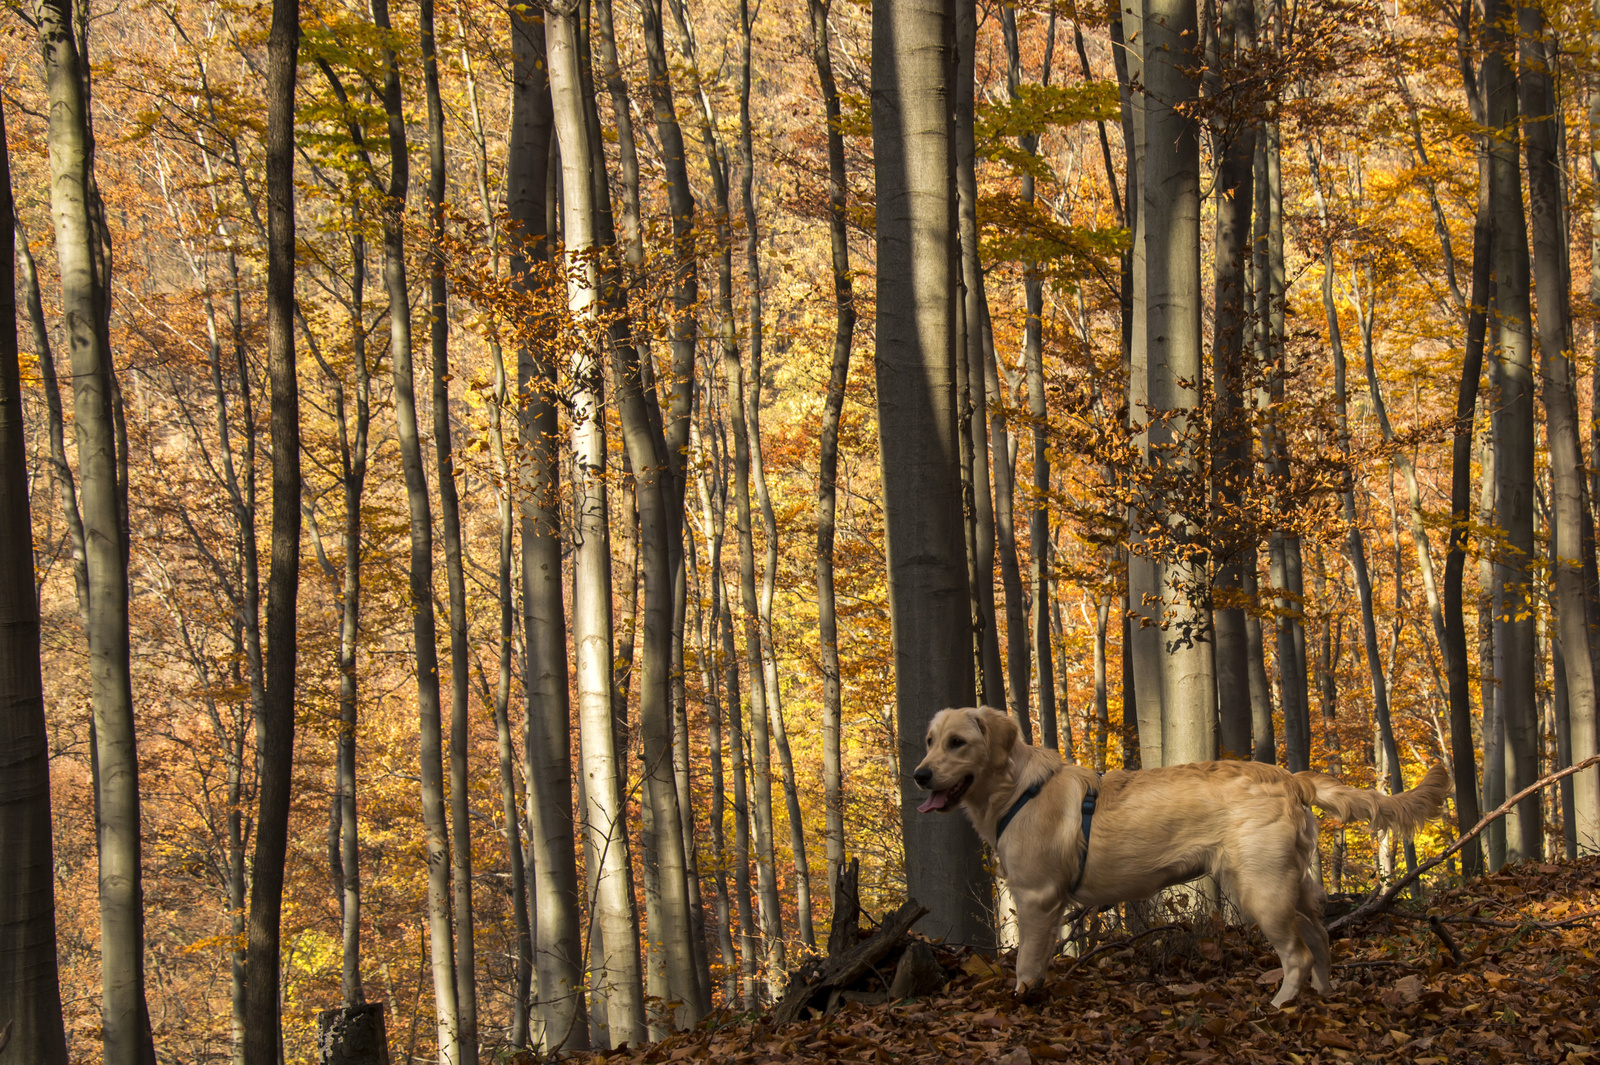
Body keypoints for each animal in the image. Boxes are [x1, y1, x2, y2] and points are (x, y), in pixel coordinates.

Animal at [915, 703, 1452, 1004]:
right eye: (930, 741)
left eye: (958, 743)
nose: (919, 774)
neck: (1013, 790)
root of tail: (1289, 777)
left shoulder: (1036, 898)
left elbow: (1027, 962)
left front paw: (1022, 1000)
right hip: (1293, 883)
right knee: (1321, 937)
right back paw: (1323, 995)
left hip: (1261, 888)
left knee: (1298, 952)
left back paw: (1281, 1003)